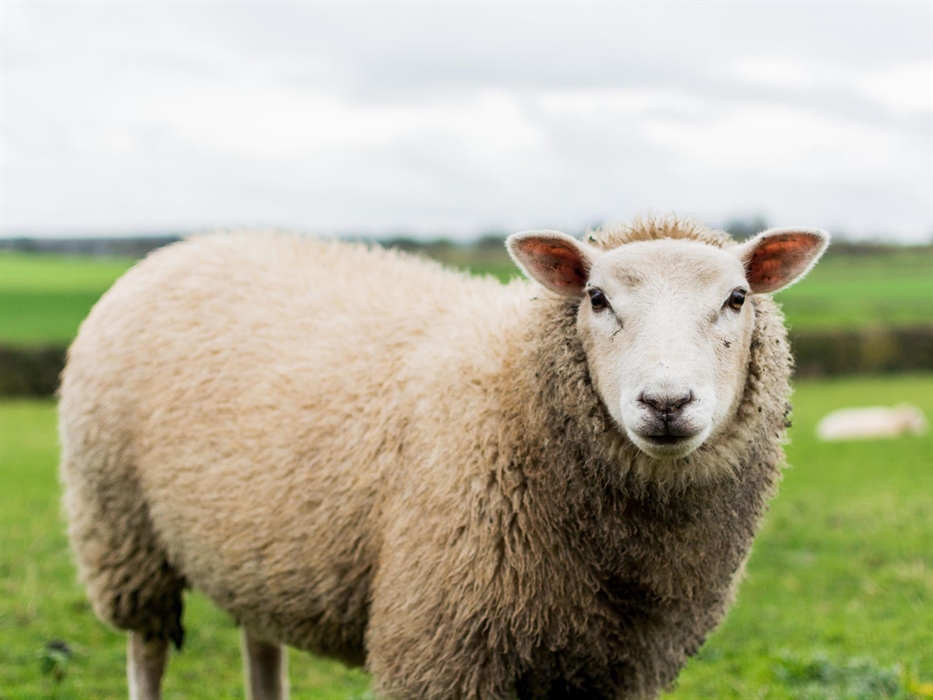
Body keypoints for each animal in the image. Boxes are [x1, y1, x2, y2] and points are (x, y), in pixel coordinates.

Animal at [59, 217, 829, 700]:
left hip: (254, 545)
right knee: (147, 649)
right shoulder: (442, 644)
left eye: (737, 298)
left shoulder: (613, 666)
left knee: (260, 643)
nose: (666, 402)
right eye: (596, 297)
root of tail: (183, 247)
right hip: (121, 529)